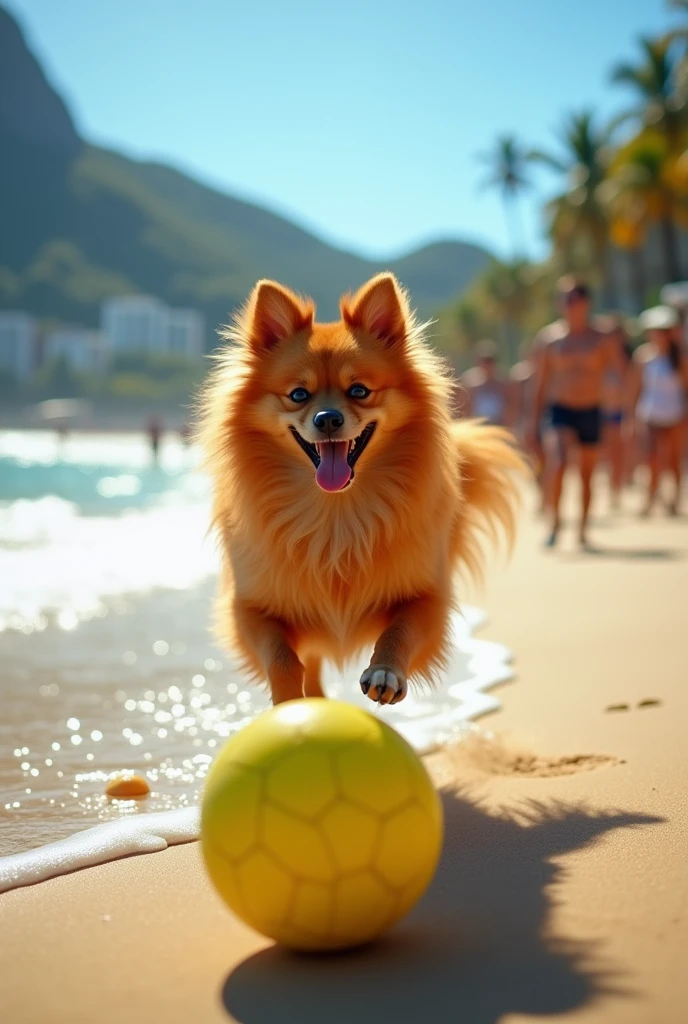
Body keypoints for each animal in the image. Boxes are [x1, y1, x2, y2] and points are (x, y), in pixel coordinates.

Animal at [198, 270, 522, 704]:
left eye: (359, 391)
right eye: (298, 394)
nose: (327, 418)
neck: (336, 512)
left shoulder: (427, 597)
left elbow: (400, 630)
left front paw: (385, 671)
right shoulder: (249, 610)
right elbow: (282, 658)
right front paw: (289, 702)